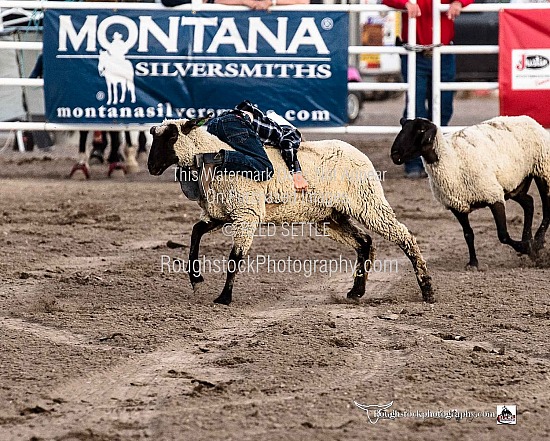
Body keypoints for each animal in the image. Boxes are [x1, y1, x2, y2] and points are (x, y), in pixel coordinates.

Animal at [147, 115, 436, 304]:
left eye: (171, 136)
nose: (151, 167)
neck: (215, 157)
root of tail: (358, 153)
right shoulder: (223, 214)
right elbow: (195, 233)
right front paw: (196, 279)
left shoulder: (247, 213)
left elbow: (234, 258)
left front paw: (224, 298)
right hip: (330, 216)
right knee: (364, 242)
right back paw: (356, 292)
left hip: (367, 202)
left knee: (404, 236)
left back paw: (427, 289)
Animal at [392, 115, 550, 268]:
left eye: (421, 129)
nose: (394, 154)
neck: (451, 160)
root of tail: (529, 119)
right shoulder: (457, 206)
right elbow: (468, 234)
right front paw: (473, 263)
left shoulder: (493, 196)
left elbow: (503, 235)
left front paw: (528, 249)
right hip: (513, 186)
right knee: (529, 202)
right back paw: (529, 238)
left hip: (542, 170)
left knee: (545, 209)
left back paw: (538, 240)